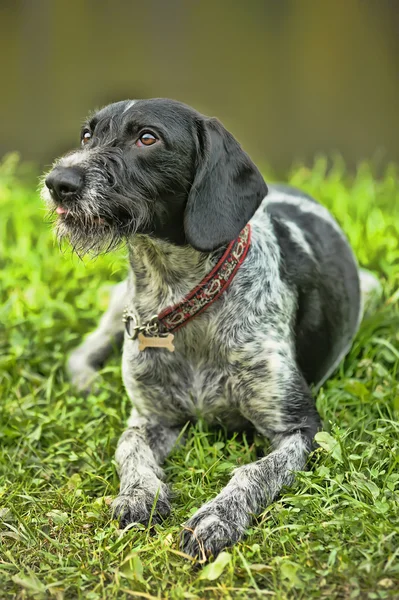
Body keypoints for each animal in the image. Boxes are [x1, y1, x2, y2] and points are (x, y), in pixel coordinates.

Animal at [43, 96, 372, 560]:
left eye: (148, 138)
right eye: (87, 135)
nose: (58, 182)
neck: (180, 297)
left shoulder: (299, 428)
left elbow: (254, 471)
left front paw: (217, 516)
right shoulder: (152, 417)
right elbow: (128, 447)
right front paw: (139, 493)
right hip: (121, 308)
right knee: (88, 343)